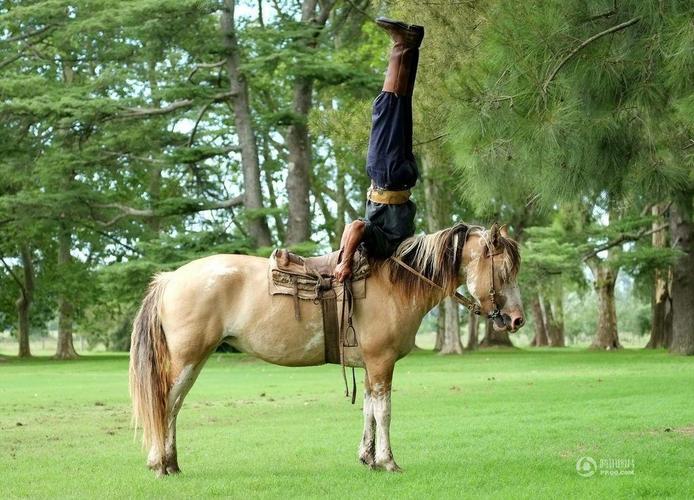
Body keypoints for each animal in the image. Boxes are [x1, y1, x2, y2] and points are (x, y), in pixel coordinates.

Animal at [129, 222, 524, 476]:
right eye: (504, 271)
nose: (517, 319)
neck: (394, 283)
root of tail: (171, 279)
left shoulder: (369, 365)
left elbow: (368, 410)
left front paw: (368, 459)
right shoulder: (381, 363)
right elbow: (384, 412)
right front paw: (388, 461)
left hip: (193, 362)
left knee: (173, 407)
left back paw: (171, 463)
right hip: (187, 360)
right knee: (166, 404)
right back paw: (159, 463)